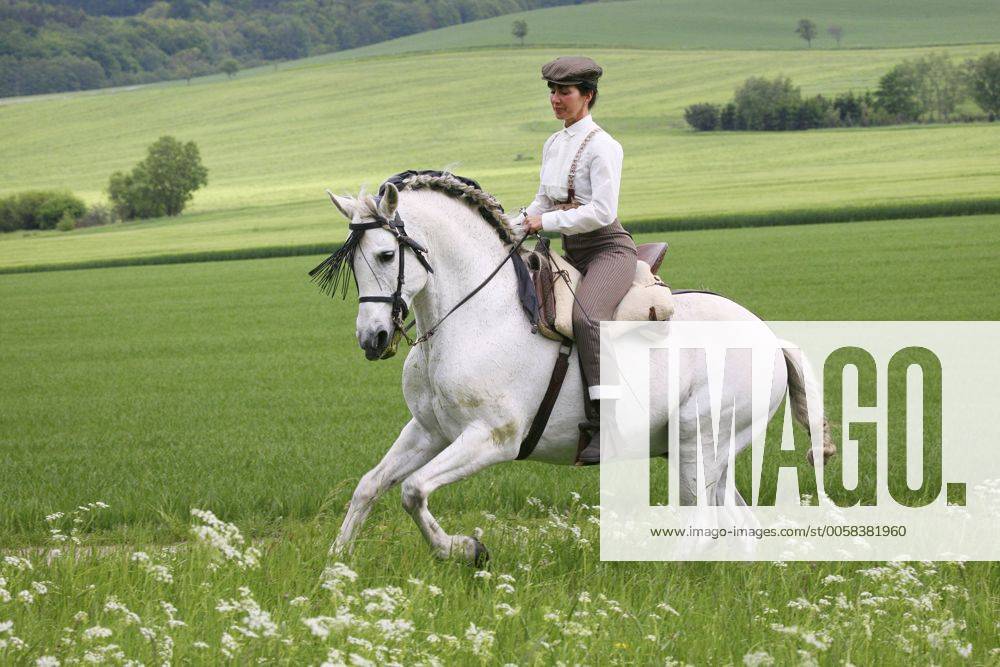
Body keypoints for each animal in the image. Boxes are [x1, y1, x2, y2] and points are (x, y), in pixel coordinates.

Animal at [317, 172, 834, 564]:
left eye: (386, 255)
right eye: (354, 265)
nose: (372, 339)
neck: (472, 314)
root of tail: (770, 338)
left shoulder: (492, 438)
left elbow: (414, 490)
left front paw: (466, 549)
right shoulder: (430, 431)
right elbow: (370, 486)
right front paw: (335, 566)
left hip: (697, 442)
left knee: (706, 520)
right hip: (709, 455)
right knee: (737, 521)